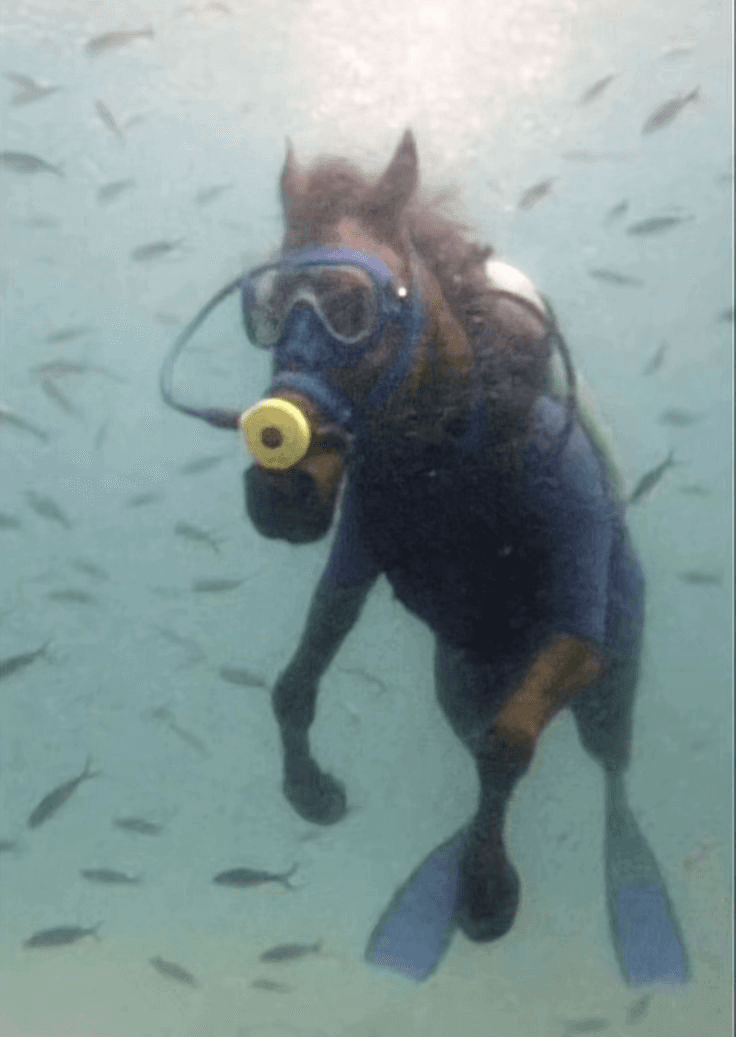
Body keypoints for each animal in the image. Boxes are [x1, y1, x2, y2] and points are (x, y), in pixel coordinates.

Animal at [161, 128, 689, 982]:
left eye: (351, 309)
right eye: (267, 316)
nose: (280, 486)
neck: (452, 451)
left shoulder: (580, 609)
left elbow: (508, 745)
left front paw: (485, 893)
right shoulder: (353, 552)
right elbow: (293, 682)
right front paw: (310, 790)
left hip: (614, 680)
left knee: (607, 770)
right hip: (458, 682)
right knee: (478, 731)